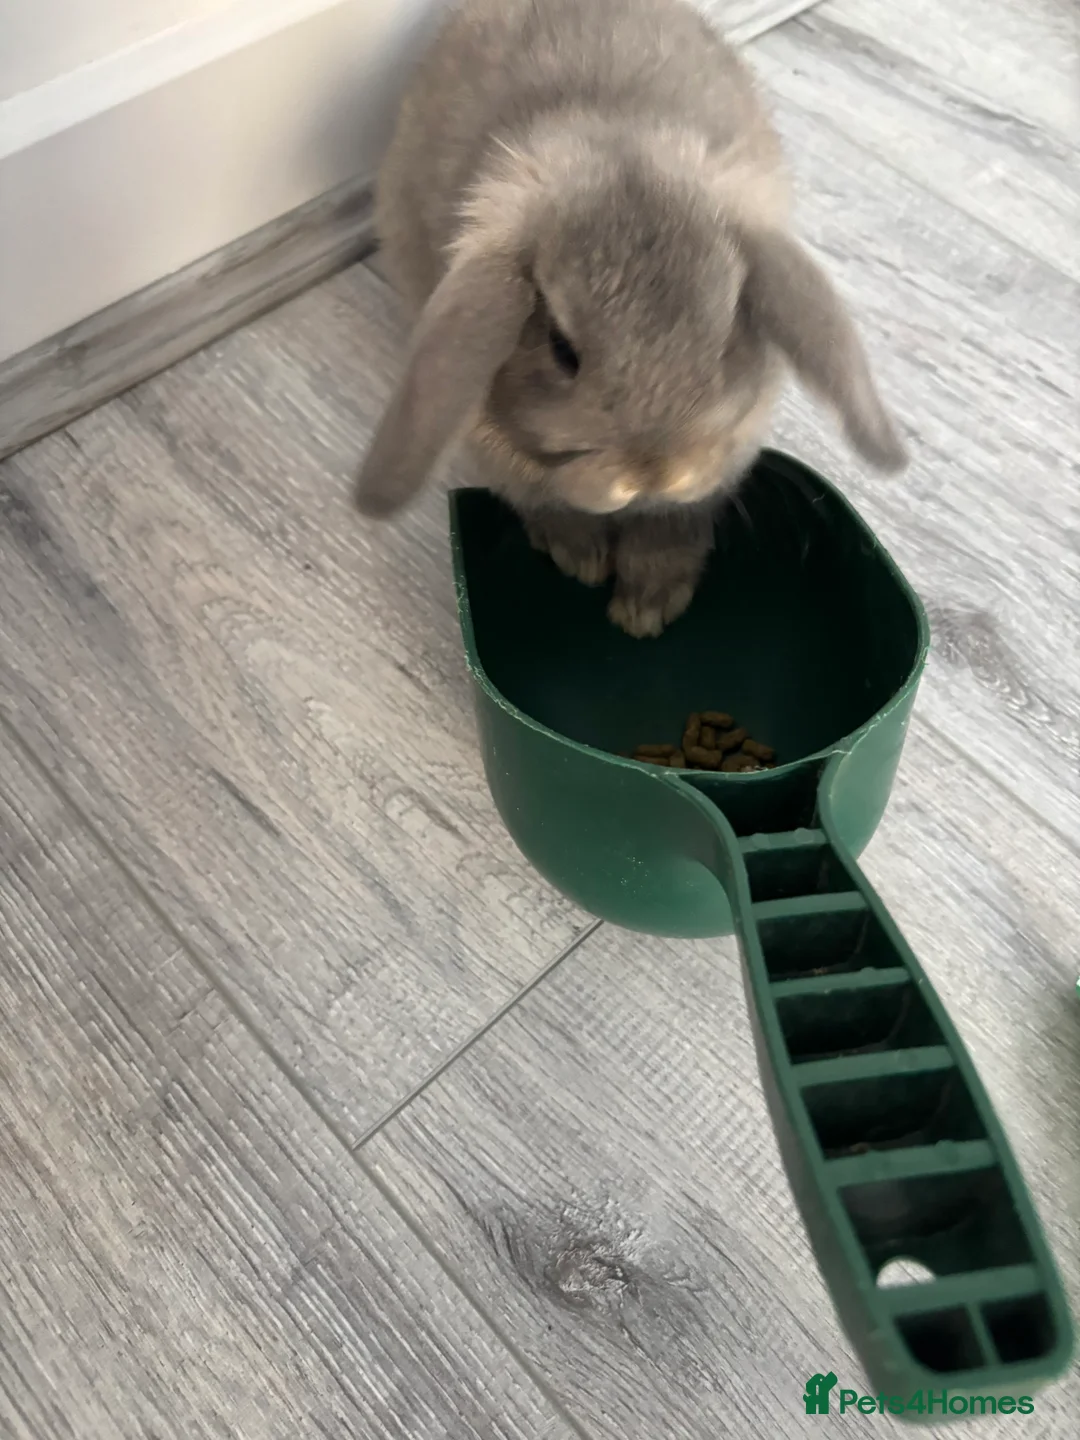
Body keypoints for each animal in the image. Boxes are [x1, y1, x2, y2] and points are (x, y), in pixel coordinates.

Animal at [355, 0, 907, 637]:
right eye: (560, 348)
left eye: (726, 332)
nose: (653, 474)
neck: (617, 146)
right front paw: (583, 560)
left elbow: (671, 527)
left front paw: (648, 606)